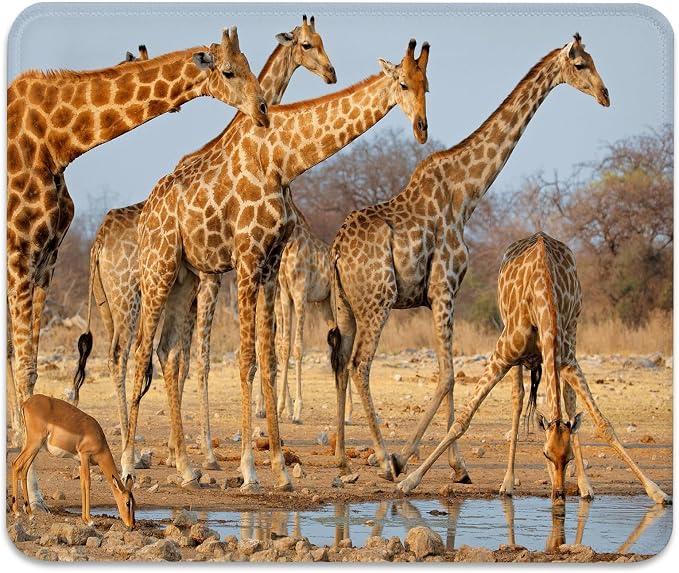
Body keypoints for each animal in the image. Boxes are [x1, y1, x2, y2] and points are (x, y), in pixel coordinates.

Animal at [6, 26, 268, 511]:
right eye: (228, 71)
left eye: (250, 64)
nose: (262, 109)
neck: (56, 139)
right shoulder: (19, 249)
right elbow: (24, 365)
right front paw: (32, 493)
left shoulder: (46, 257)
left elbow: (28, 366)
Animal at [73, 15, 338, 472]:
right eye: (307, 44)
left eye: (322, 42)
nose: (331, 73)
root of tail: (98, 240)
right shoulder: (213, 279)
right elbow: (199, 360)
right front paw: (210, 453)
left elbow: (184, 358)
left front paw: (190, 451)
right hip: (131, 294)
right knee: (125, 355)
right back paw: (130, 449)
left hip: (109, 302)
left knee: (115, 355)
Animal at [120, 38, 431, 490]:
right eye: (404, 83)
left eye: (429, 84)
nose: (422, 128)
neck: (282, 160)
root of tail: (147, 210)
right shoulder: (247, 260)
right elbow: (246, 361)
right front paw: (249, 469)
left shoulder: (269, 267)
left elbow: (268, 359)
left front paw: (282, 470)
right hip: (157, 267)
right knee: (142, 352)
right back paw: (128, 462)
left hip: (185, 277)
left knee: (170, 354)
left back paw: (186, 468)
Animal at [327, 33, 610, 483]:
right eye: (581, 64)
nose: (605, 95)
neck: (466, 192)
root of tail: (336, 250)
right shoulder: (444, 288)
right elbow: (447, 375)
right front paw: (420, 461)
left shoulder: (438, 296)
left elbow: (449, 376)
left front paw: (449, 464)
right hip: (378, 300)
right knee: (359, 365)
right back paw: (383, 457)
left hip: (345, 304)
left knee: (340, 361)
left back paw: (342, 458)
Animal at [397, 233, 670, 506]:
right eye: (545, 454)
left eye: (569, 458)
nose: (559, 494)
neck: (543, 300)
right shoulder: (500, 356)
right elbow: (463, 420)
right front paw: (408, 481)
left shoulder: (567, 359)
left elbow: (603, 424)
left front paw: (656, 491)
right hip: (513, 349)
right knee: (518, 399)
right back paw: (507, 483)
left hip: (571, 333)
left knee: (565, 400)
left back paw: (583, 486)